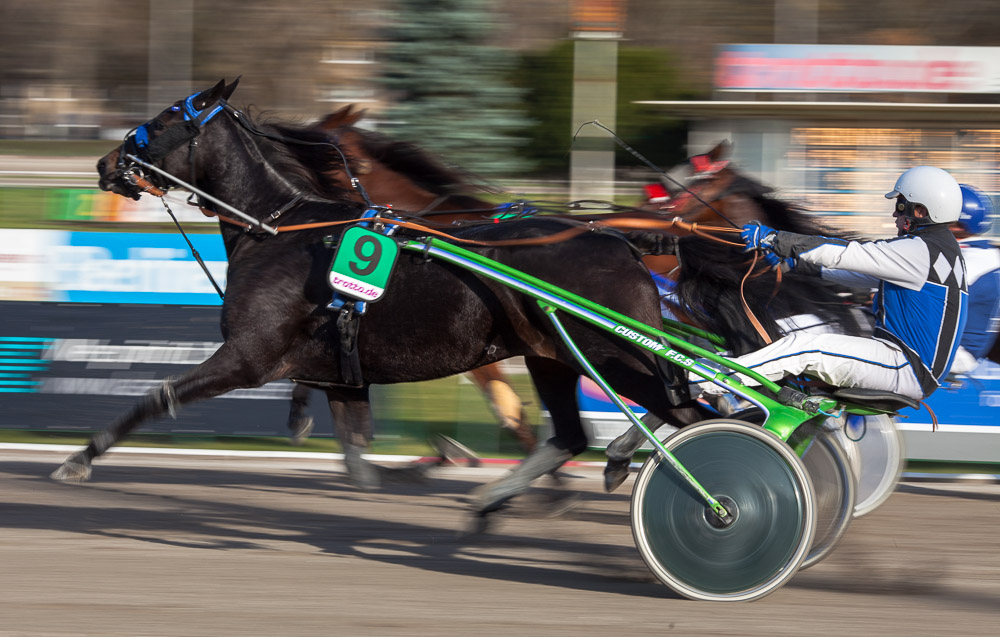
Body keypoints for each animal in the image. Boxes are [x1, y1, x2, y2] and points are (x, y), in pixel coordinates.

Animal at [56, 78, 712, 516]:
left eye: (169, 115)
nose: (107, 161)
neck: (280, 228)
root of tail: (620, 241)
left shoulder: (248, 356)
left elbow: (157, 395)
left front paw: (79, 458)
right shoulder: (339, 372)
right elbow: (356, 455)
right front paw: (411, 470)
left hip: (612, 357)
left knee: (694, 415)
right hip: (550, 357)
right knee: (577, 434)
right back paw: (506, 494)